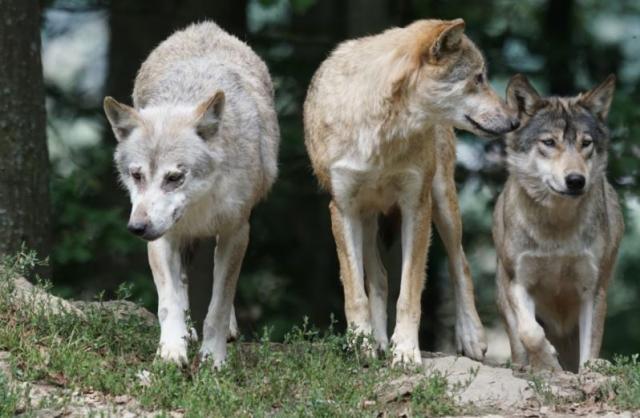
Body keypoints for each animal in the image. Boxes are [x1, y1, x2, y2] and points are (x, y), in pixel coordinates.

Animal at [102, 22, 278, 370]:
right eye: (137, 175)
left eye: (174, 178)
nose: (137, 228)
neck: (199, 206)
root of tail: (204, 26)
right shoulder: (162, 237)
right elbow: (168, 302)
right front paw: (171, 351)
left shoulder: (237, 232)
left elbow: (219, 305)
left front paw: (213, 358)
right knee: (182, 284)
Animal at [302, 18, 516, 364]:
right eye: (478, 78)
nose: (515, 121)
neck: (381, 132)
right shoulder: (343, 209)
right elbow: (355, 292)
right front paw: (361, 344)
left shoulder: (417, 205)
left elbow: (410, 292)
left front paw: (405, 351)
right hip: (367, 217)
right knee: (378, 278)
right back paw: (377, 342)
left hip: (442, 202)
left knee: (461, 263)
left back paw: (471, 337)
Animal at [492, 73, 624, 370]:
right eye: (549, 142)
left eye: (586, 143)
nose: (575, 180)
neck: (557, 227)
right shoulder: (518, 282)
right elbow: (530, 332)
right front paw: (548, 362)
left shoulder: (593, 289)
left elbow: (590, 348)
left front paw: (588, 370)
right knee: (519, 343)